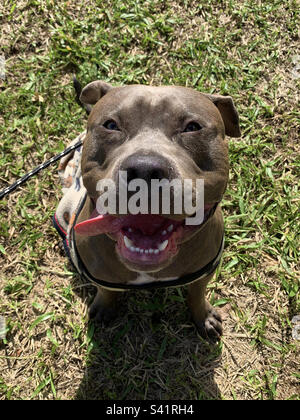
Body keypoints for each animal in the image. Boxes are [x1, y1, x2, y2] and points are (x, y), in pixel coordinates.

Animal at [65, 80, 239, 340]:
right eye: (110, 125)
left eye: (192, 127)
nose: (145, 170)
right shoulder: (99, 275)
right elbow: (106, 291)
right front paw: (104, 307)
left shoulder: (205, 271)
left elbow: (197, 293)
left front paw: (204, 316)